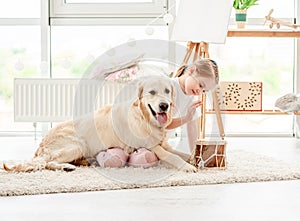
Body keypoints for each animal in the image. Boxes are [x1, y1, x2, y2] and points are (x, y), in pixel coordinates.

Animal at [4, 76, 197, 173]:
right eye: (152, 92)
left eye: (167, 91)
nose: (164, 105)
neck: (145, 118)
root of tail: (41, 144)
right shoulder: (151, 146)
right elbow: (172, 156)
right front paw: (188, 167)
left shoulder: (162, 143)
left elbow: (182, 153)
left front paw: (195, 160)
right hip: (77, 144)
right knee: (48, 163)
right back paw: (67, 166)